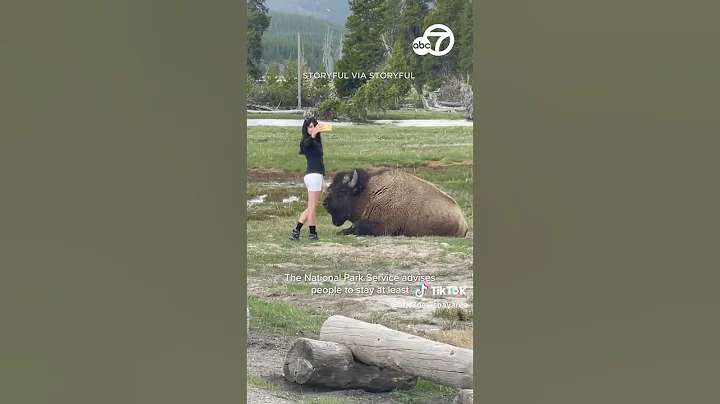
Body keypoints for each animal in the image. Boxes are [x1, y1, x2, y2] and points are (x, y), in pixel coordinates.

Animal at [320, 167, 466, 237]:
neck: (369, 193)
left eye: (341, 191)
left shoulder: (384, 227)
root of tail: (462, 220)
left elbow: (357, 225)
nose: (325, 204)